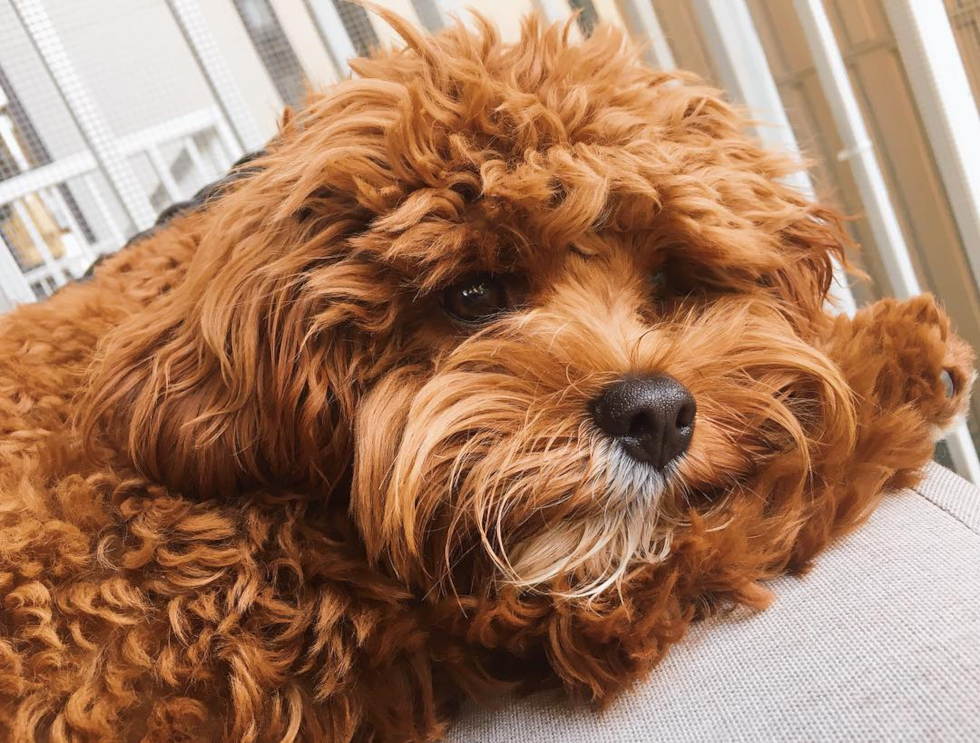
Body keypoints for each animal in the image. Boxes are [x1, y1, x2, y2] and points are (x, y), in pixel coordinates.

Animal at [0, 11, 972, 743]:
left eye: (669, 278)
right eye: (472, 295)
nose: (656, 414)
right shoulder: (557, 605)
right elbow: (792, 472)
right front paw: (907, 347)